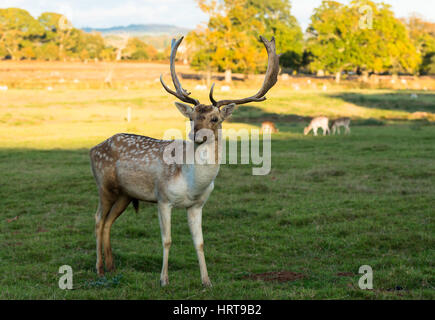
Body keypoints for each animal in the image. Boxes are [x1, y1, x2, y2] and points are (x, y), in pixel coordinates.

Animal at [89, 35, 280, 288]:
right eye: (192, 117)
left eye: (215, 118)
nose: (196, 135)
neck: (191, 183)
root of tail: (94, 148)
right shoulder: (163, 198)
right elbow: (167, 240)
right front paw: (164, 279)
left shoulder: (197, 205)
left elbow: (199, 242)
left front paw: (207, 281)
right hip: (104, 185)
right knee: (98, 219)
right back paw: (99, 269)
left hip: (125, 194)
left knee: (109, 221)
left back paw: (111, 267)